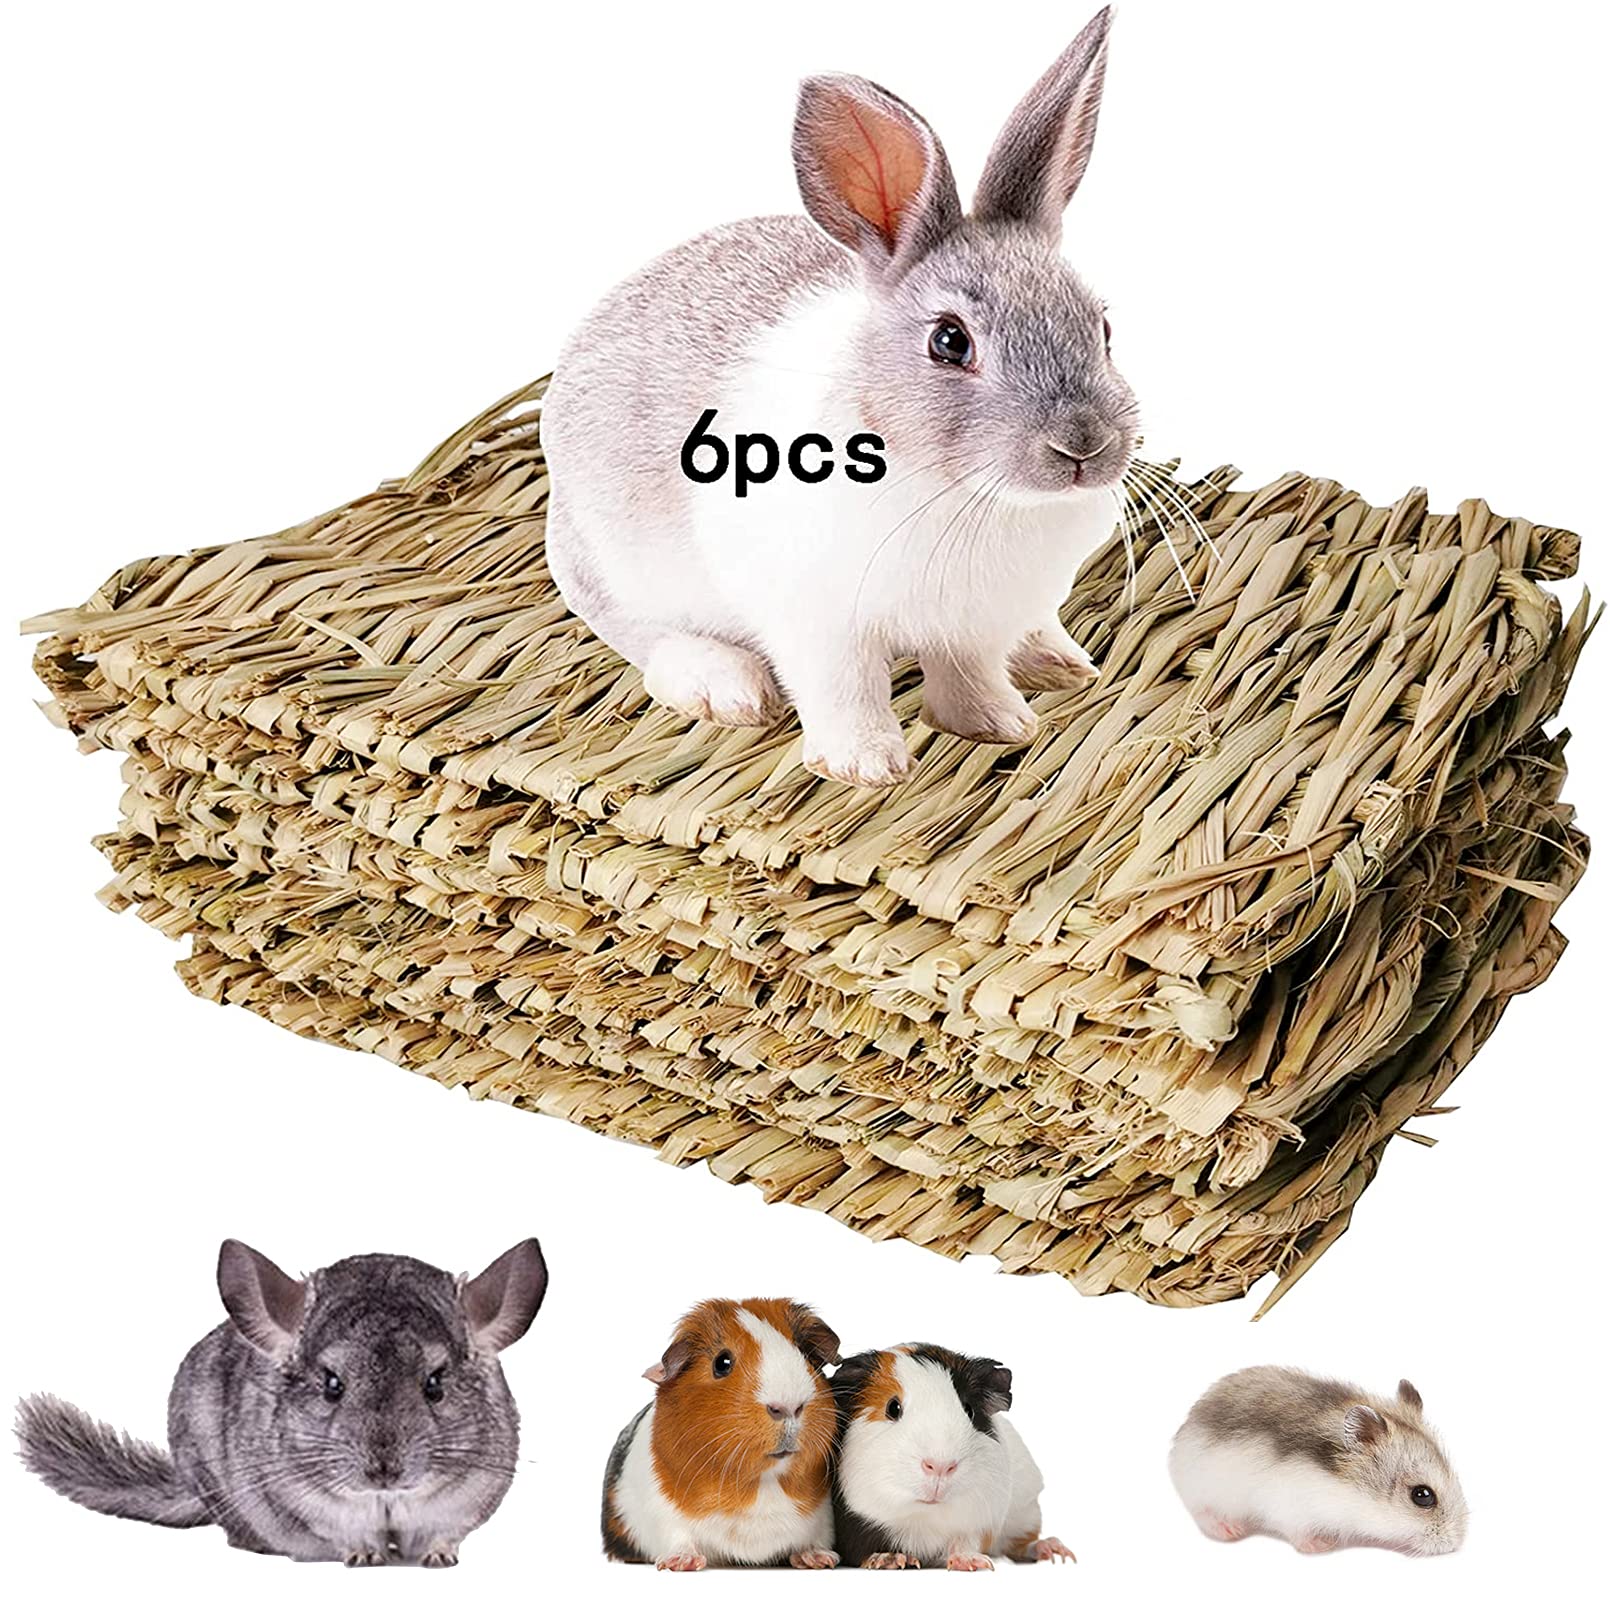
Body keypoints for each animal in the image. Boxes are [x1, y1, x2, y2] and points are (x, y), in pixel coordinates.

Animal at [16, 1237, 548, 1566]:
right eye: (332, 1384)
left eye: (435, 1384)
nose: (384, 1471)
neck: (385, 1502)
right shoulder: (304, 1504)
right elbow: (344, 1536)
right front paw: (364, 1556)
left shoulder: (466, 1503)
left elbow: (445, 1533)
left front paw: (439, 1558)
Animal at [540, 7, 1137, 787]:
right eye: (950, 341)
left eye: (1103, 327)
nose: (1083, 445)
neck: (968, 494)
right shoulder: (817, 623)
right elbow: (843, 689)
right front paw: (867, 766)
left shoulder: (974, 626)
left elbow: (969, 675)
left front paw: (1000, 725)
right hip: (615, 567)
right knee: (639, 633)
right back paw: (724, 687)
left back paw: (1057, 660)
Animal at [601, 1297, 840, 1570]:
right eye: (722, 1363)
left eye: (806, 1355)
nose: (789, 1406)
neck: (762, 1483)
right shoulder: (660, 1512)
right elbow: (678, 1537)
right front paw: (681, 1563)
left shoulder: (823, 1517)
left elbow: (816, 1538)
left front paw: (821, 1559)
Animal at [830, 1343, 1075, 1570]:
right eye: (892, 1407)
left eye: (969, 1410)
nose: (940, 1466)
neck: (923, 1519)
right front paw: (890, 1560)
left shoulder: (979, 1521)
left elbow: (964, 1542)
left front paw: (972, 1563)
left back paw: (1055, 1551)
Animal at [1168, 1366, 1469, 1556]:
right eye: (1422, 1496)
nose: (1455, 1544)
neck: (1345, 1489)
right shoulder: (1289, 1509)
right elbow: (1300, 1533)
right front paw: (1323, 1545)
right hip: (1202, 1489)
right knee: (1203, 1513)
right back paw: (1229, 1530)